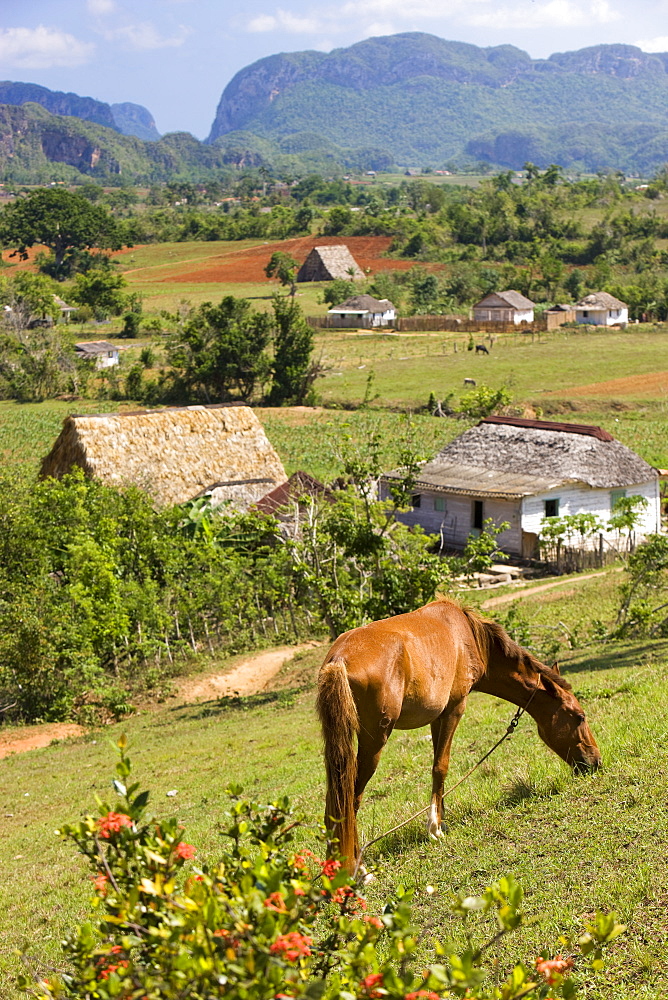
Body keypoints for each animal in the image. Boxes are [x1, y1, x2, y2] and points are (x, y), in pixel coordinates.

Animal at [316, 596, 604, 872]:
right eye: (579, 716)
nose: (596, 761)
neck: (469, 637)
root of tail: (339, 660)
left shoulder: (438, 717)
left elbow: (437, 767)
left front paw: (441, 818)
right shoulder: (454, 709)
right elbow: (440, 767)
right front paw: (435, 827)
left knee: (335, 800)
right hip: (373, 742)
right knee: (351, 799)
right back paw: (356, 866)